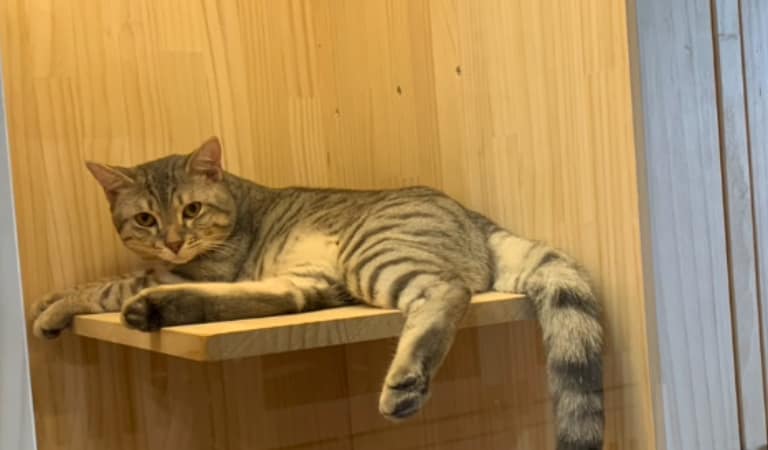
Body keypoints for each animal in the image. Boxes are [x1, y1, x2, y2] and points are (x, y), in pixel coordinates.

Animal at [31, 137, 604, 450]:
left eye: (191, 210)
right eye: (146, 219)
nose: (173, 240)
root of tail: (472, 216)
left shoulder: (181, 269)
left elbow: (109, 285)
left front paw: (53, 306)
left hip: (376, 254)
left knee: (447, 290)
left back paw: (408, 379)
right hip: (313, 277)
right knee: (286, 300)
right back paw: (157, 311)